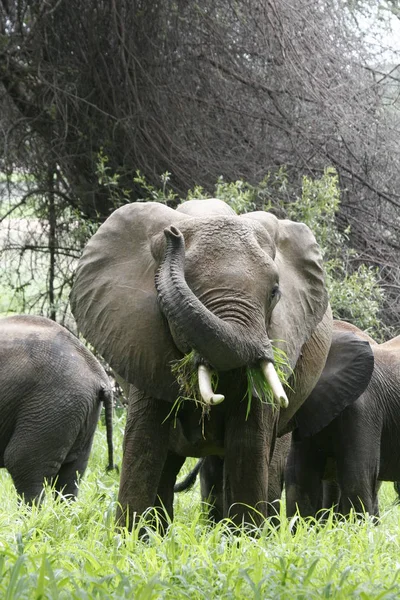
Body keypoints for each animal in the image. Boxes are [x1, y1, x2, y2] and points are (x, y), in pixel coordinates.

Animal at [69, 198, 334, 528]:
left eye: (275, 292)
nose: (172, 234)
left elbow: (249, 444)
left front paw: (245, 539)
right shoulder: (141, 343)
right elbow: (144, 444)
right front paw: (129, 537)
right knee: (169, 464)